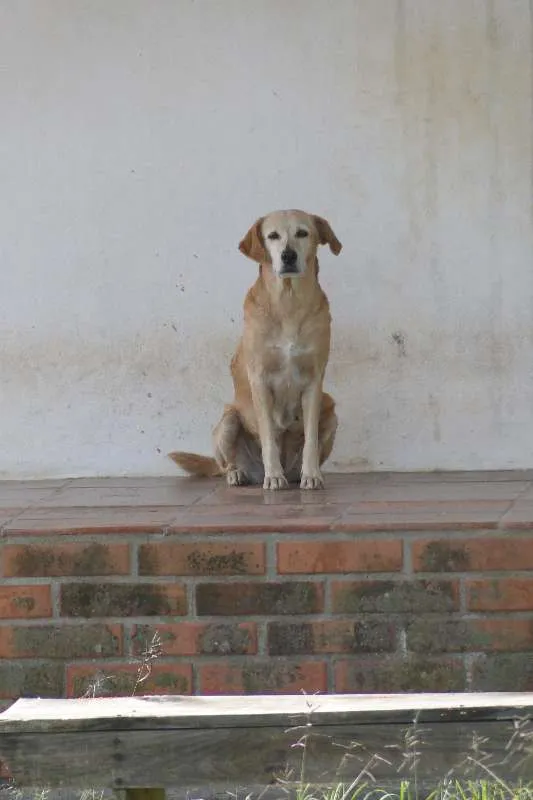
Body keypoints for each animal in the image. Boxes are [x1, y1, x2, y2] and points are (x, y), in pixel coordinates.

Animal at [171, 208, 344, 488]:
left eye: (302, 233)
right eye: (273, 236)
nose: (288, 255)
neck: (288, 302)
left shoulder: (314, 380)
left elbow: (310, 439)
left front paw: (311, 474)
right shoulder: (260, 380)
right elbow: (268, 436)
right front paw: (273, 476)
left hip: (330, 410)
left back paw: (300, 473)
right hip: (228, 420)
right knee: (225, 464)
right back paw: (239, 473)